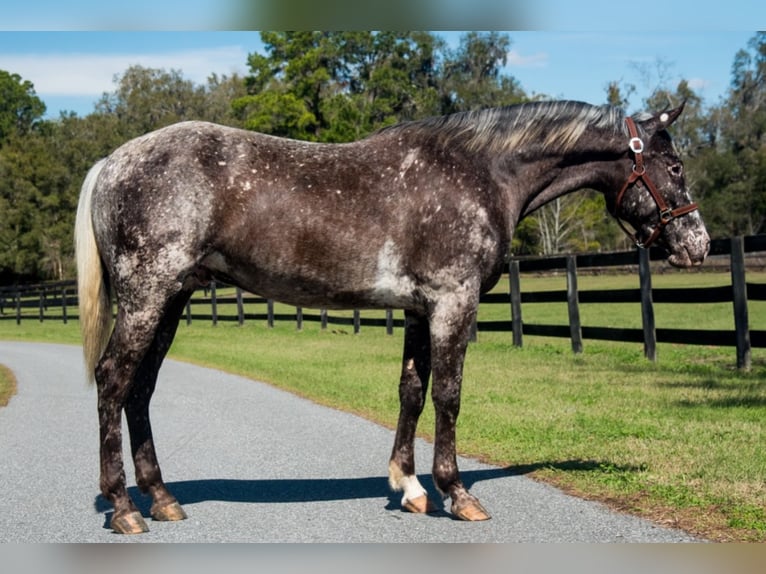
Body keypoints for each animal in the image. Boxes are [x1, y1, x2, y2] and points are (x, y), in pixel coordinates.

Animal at [75, 99, 712, 536]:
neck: (482, 172)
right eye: (676, 166)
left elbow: (412, 391)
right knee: (113, 381)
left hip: (172, 301)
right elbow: (449, 395)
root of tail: (111, 162)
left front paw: (409, 487)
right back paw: (124, 508)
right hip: (147, 297)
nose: (698, 245)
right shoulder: (454, 303)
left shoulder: (418, 310)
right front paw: (458, 494)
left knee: (140, 390)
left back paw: (161, 499)